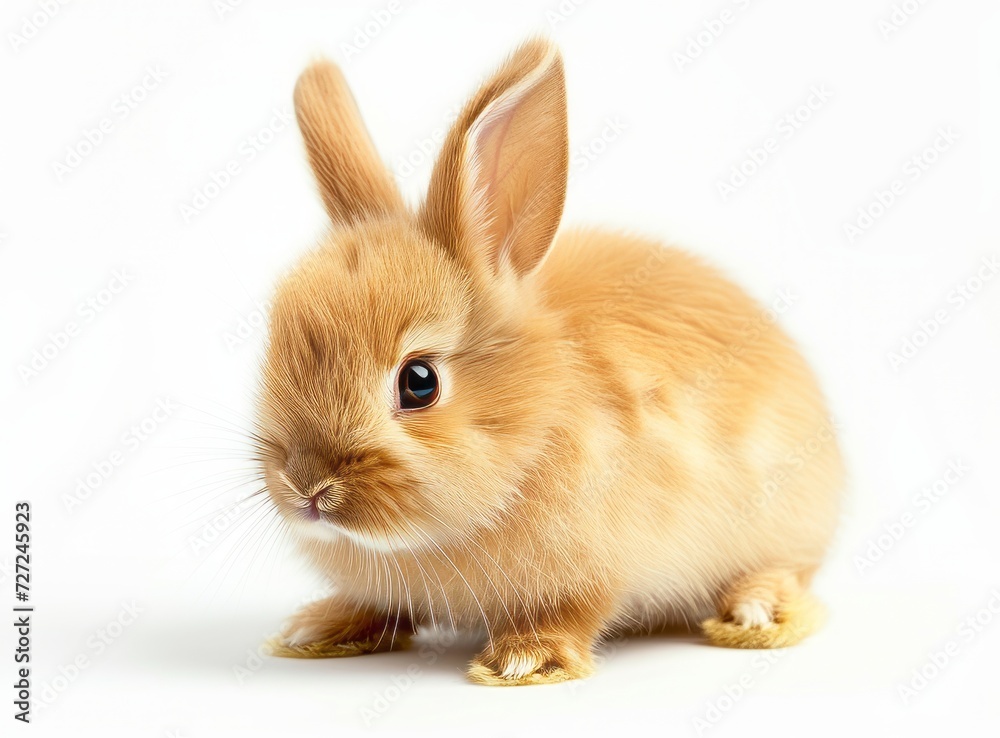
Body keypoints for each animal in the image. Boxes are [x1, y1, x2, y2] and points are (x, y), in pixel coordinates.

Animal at [254, 38, 840, 684]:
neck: (534, 423)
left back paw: (755, 615)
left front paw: (522, 661)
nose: (308, 486)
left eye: (419, 382)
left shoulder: (599, 564)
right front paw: (317, 628)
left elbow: (575, 611)